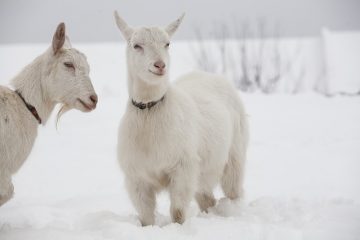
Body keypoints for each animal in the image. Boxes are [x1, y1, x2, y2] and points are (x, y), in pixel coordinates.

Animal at [114, 11, 248, 225]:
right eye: (136, 45)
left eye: (167, 44)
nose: (160, 65)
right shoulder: (136, 177)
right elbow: (145, 216)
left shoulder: (184, 168)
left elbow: (177, 211)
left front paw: (178, 227)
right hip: (204, 170)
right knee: (206, 198)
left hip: (235, 154)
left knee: (233, 190)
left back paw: (233, 211)